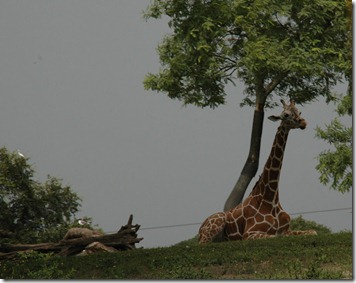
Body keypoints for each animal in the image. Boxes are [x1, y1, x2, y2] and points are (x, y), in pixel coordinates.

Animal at [197, 100, 318, 244]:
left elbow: (313, 231)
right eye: (286, 115)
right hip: (214, 226)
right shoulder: (249, 234)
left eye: (299, 111)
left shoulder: (286, 230)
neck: (271, 199)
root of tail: (199, 230)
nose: (303, 122)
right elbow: (276, 236)